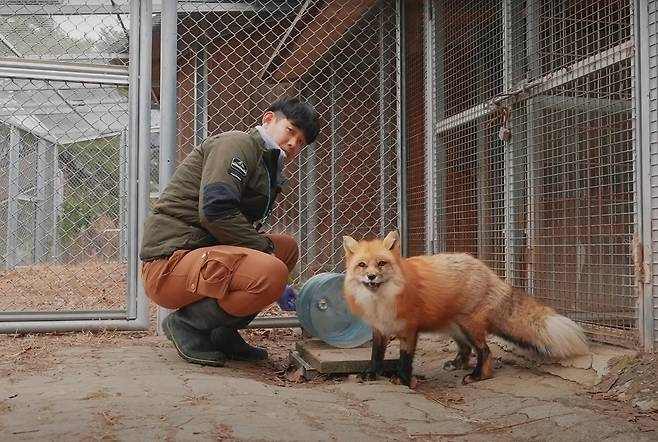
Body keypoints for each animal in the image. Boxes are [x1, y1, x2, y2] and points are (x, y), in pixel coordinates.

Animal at [340, 231, 588, 386]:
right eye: (362, 265)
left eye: (382, 264)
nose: (371, 276)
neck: (381, 301)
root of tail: (487, 270)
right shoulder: (379, 328)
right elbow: (376, 355)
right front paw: (370, 375)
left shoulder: (409, 330)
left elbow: (405, 358)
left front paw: (402, 379)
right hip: (454, 326)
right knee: (467, 349)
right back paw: (458, 364)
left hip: (469, 325)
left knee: (485, 352)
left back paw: (478, 376)